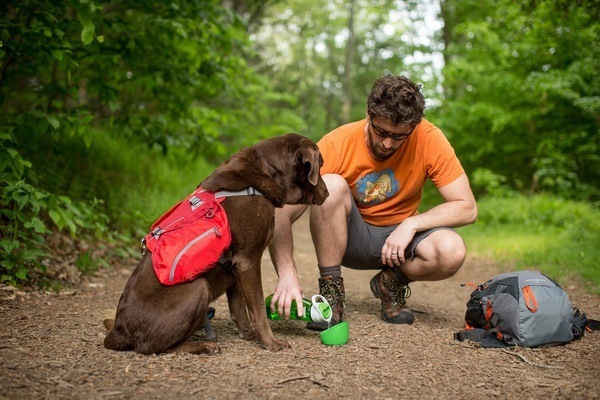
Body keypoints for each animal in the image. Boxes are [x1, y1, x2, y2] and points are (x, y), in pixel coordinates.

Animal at [103, 134, 328, 354]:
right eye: (320, 165)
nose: (327, 193)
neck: (267, 173)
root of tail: (119, 331)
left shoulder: (236, 267)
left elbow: (240, 310)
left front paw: (250, 335)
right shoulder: (248, 260)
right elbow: (257, 310)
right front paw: (271, 342)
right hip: (199, 288)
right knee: (156, 347)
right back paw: (202, 345)